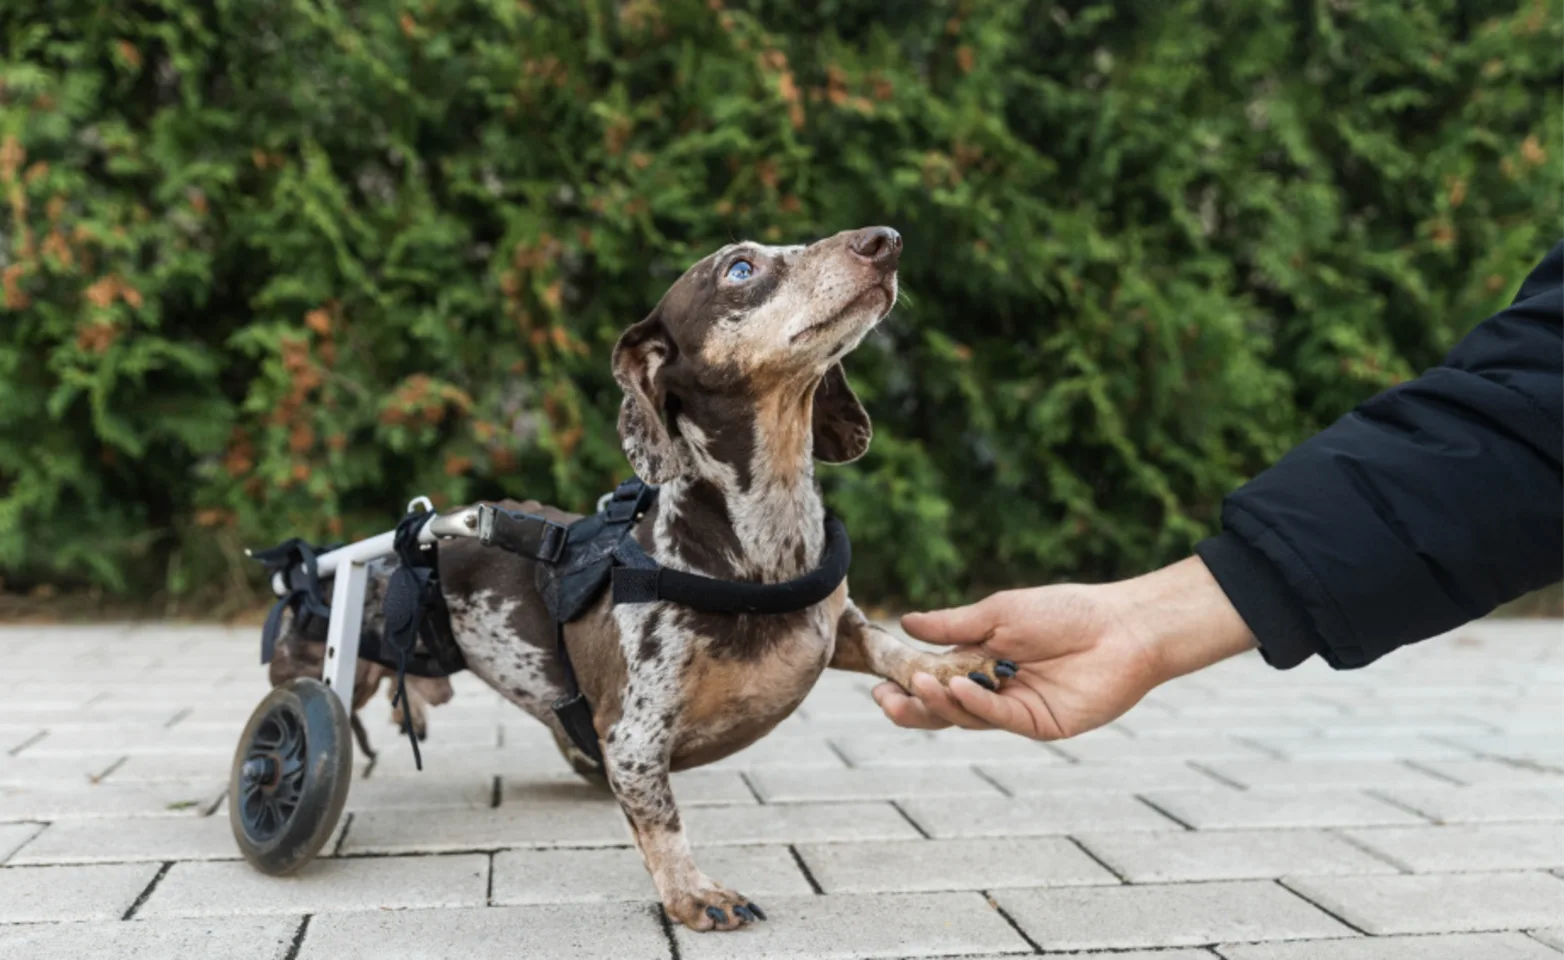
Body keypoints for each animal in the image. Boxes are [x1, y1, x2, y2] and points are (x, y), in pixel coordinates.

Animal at [270, 225, 1013, 931]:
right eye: (739, 268)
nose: (886, 241)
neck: (761, 545)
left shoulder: (837, 627)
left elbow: (891, 646)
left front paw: (950, 666)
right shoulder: (636, 735)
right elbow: (662, 821)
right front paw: (693, 892)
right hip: (328, 668)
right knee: (309, 702)